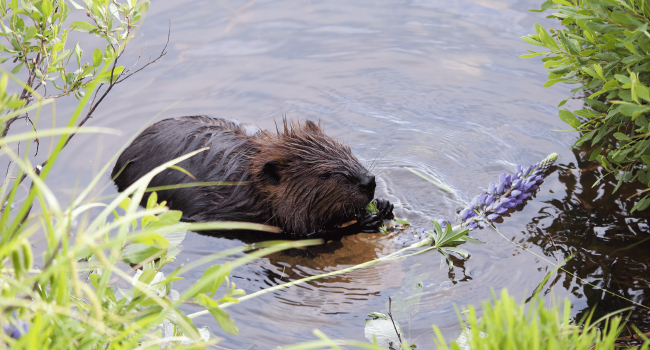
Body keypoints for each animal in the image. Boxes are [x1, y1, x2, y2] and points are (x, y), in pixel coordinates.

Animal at [109, 115, 392, 238]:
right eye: (324, 174)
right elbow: (303, 231)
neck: (246, 183)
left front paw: (384, 205)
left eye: (347, 149)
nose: (368, 182)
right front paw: (365, 219)